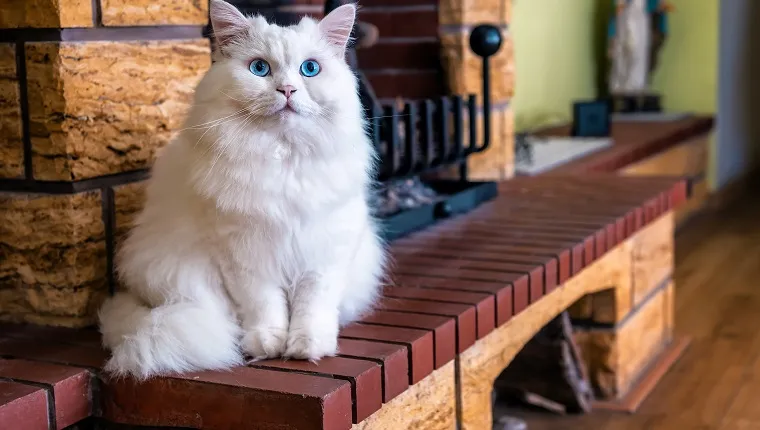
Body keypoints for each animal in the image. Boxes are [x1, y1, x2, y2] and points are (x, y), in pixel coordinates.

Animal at [98, 0, 386, 378]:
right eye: (260, 68)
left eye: (310, 69)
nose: (288, 90)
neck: (283, 158)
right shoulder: (243, 253)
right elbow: (264, 305)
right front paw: (268, 345)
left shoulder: (324, 251)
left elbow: (312, 308)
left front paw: (307, 348)